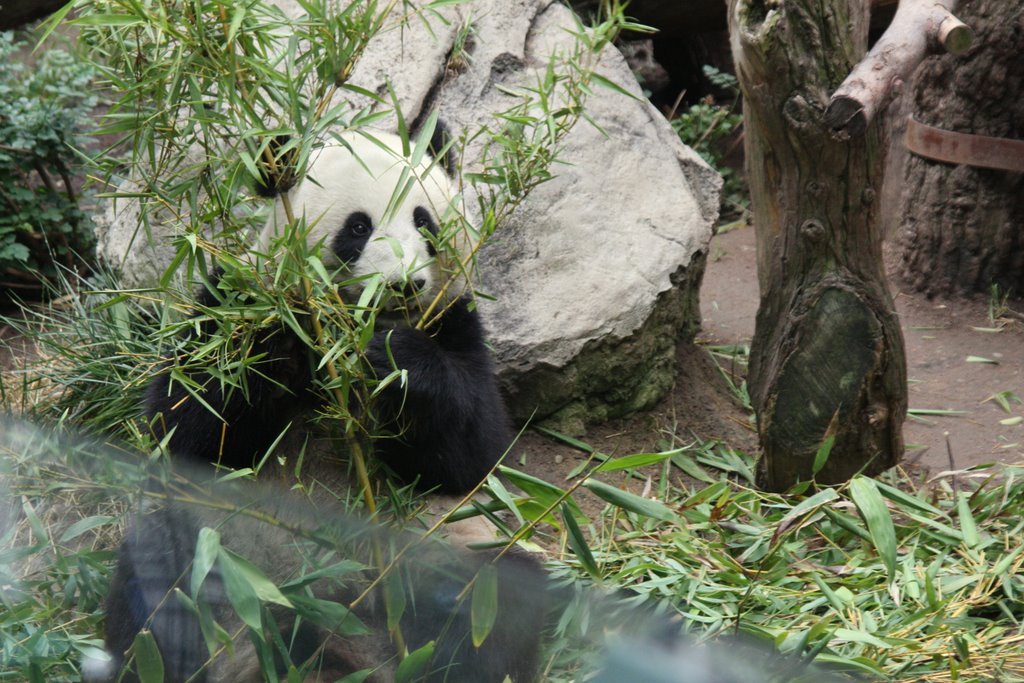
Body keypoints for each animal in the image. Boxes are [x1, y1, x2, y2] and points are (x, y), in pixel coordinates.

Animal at [89, 125, 548, 679]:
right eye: (358, 228)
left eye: (424, 221)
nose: (403, 285)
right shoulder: (232, 300)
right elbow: (187, 421)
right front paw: (276, 340)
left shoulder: (454, 320)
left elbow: (474, 455)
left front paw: (396, 358)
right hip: (219, 542)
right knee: (162, 584)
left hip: (445, 543)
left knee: (492, 598)